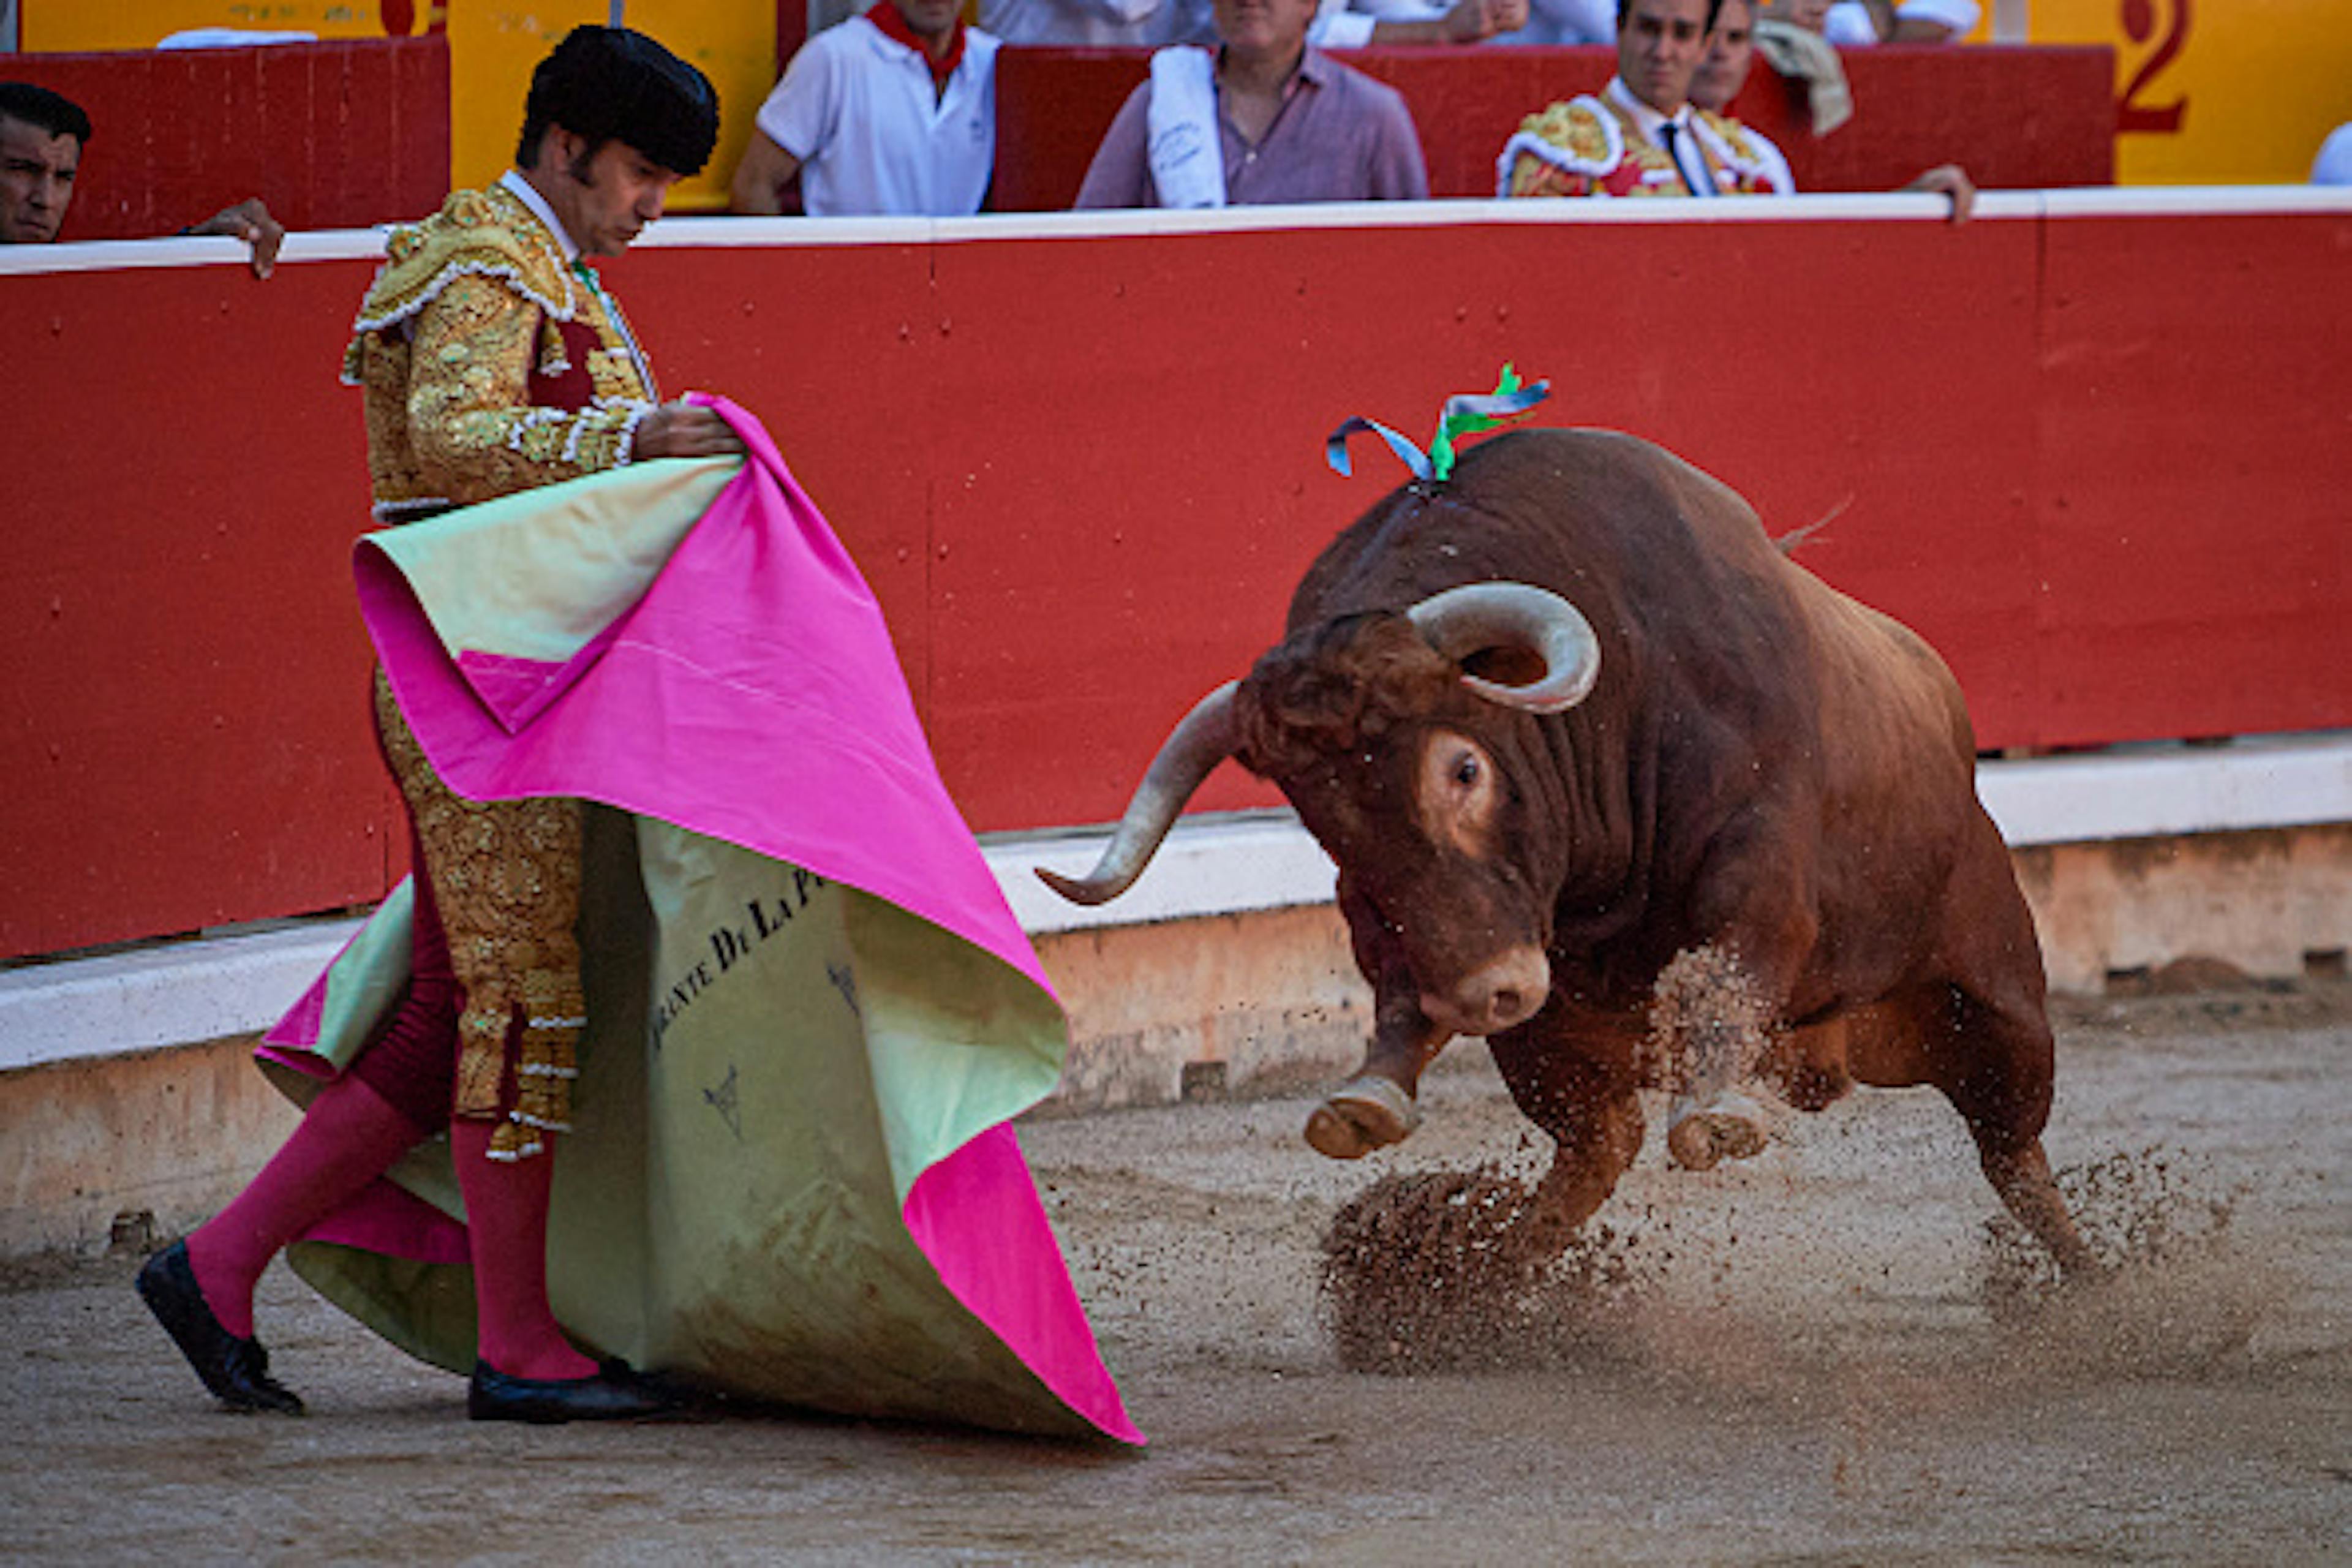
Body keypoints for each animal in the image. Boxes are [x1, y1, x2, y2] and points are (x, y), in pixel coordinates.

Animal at [1041, 426, 2095, 1276]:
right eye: (1322, 816)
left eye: (1464, 768)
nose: (1487, 994)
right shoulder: (1411, 925)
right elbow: (1394, 972)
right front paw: (1367, 1098)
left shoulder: (1760, 866)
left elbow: (1724, 966)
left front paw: (1716, 1114)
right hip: (1557, 1049)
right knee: (1597, 1148)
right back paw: (1495, 1287)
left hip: (1998, 997)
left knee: (2012, 1147)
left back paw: (2092, 1292)